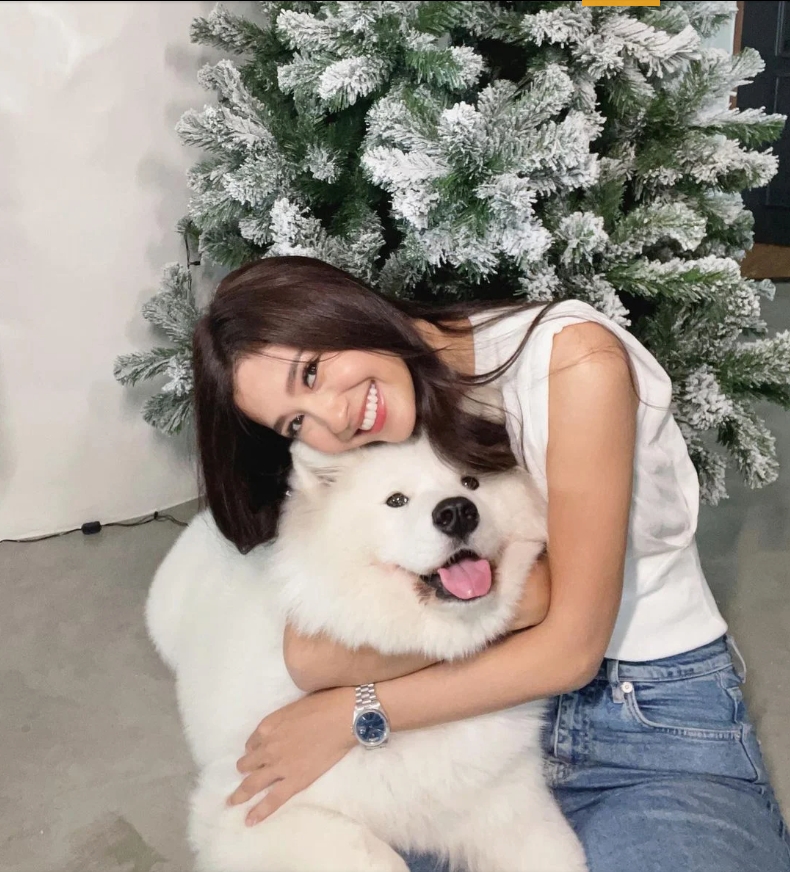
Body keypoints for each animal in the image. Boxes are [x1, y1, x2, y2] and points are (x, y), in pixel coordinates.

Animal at [147, 436, 588, 872]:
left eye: (471, 483)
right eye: (396, 500)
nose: (457, 512)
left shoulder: (511, 805)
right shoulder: (247, 811)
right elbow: (377, 856)